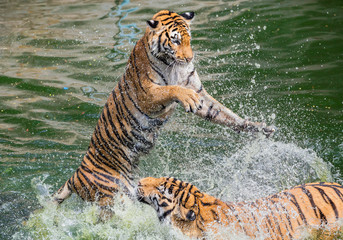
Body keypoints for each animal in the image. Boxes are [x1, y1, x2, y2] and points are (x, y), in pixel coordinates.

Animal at [52, 10, 276, 207]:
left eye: (188, 40)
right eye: (175, 40)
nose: (189, 58)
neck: (173, 65)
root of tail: (76, 174)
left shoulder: (199, 91)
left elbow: (223, 113)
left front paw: (258, 127)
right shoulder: (147, 95)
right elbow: (170, 89)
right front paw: (187, 98)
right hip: (114, 195)